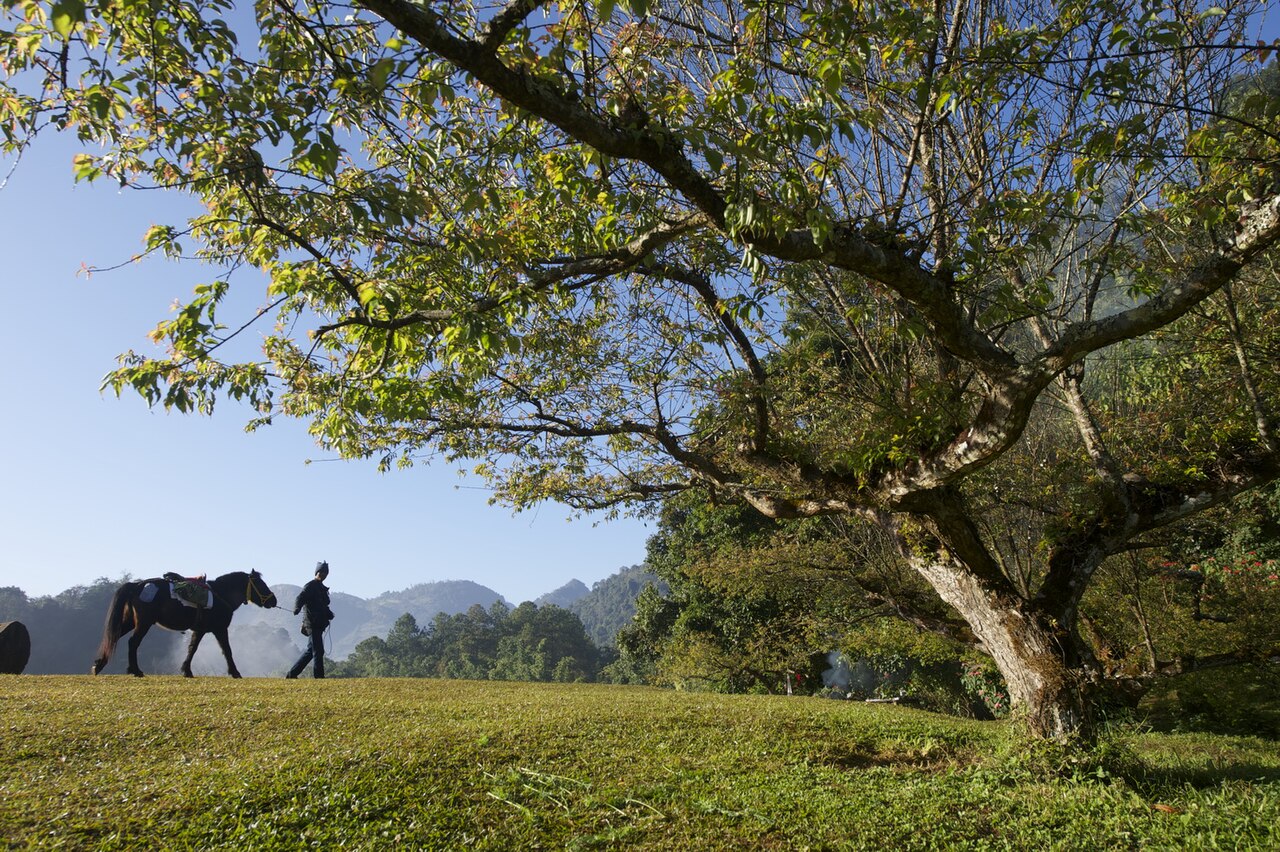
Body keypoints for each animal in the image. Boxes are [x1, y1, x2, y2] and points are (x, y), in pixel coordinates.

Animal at [91, 571, 278, 678]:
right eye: (260, 583)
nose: (273, 600)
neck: (221, 595)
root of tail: (138, 585)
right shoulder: (219, 629)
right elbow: (227, 650)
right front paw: (235, 672)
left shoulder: (200, 630)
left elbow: (192, 649)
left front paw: (186, 671)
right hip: (144, 623)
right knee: (133, 642)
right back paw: (135, 670)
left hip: (130, 622)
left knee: (115, 637)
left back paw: (99, 665)